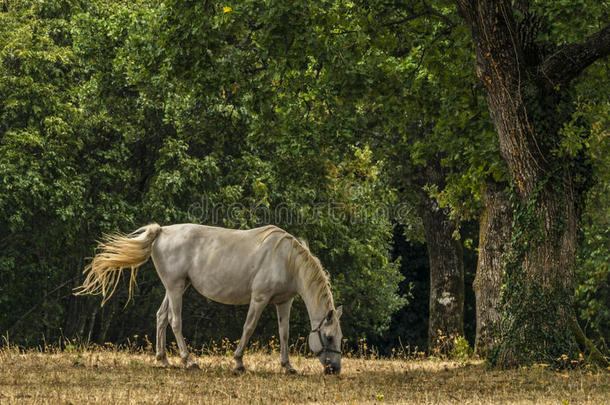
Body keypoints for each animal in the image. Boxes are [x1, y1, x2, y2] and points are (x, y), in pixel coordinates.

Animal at [76, 223, 342, 374]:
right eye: (329, 337)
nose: (335, 369)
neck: (286, 260)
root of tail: (161, 232)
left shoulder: (283, 302)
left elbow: (284, 333)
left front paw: (287, 366)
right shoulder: (259, 299)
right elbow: (248, 328)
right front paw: (238, 363)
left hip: (177, 287)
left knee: (161, 317)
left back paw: (163, 360)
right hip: (175, 288)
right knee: (174, 321)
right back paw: (188, 361)